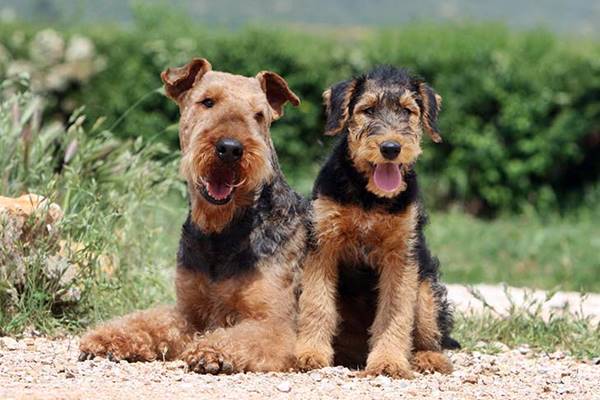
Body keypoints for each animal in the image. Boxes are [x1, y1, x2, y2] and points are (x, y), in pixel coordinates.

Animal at [79, 57, 310, 374]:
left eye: (259, 115)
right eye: (207, 101)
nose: (230, 149)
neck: (220, 232)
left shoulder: (275, 325)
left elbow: (239, 337)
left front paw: (211, 351)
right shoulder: (190, 314)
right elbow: (147, 321)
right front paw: (104, 338)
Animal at [296, 65, 460, 378]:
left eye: (408, 111)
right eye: (368, 110)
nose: (391, 147)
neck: (369, 197)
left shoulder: (400, 254)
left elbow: (395, 312)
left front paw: (388, 362)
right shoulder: (323, 244)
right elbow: (316, 303)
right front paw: (309, 355)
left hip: (426, 291)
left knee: (433, 336)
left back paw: (429, 359)